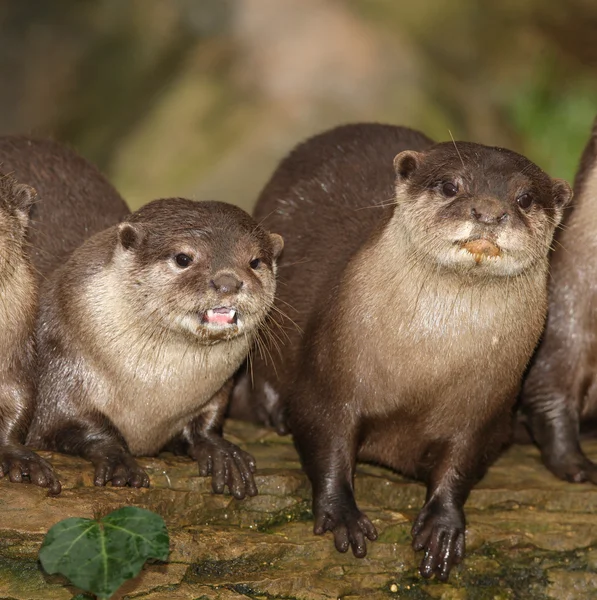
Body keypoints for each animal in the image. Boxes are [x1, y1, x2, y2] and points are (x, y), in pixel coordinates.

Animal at [25, 199, 282, 500]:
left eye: (255, 262)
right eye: (183, 258)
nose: (228, 282)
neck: (152, 389)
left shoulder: (218, 389)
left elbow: (207, 420)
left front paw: (222, 452)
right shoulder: (60, 362)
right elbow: (72, 422)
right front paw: (119, 461)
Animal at [230, 123, 572, 580]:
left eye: (525, 198)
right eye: (450, 186)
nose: (488, 211)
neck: (429, 362)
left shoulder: (487, 413)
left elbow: (462, 463)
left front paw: (443, 525)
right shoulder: (332, 377)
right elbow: (324, 436)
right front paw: (341, 513)